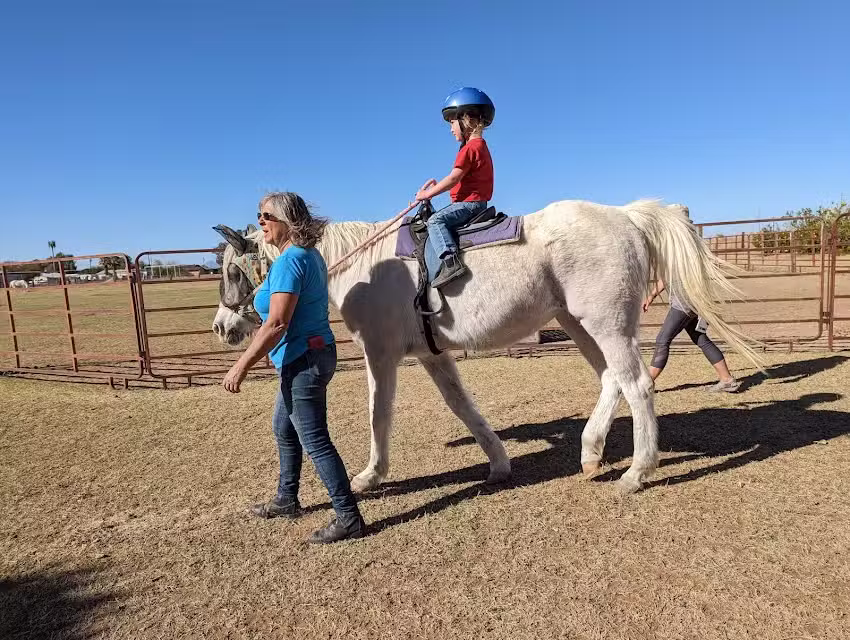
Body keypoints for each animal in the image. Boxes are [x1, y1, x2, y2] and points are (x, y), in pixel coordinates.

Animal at [212, 199, 760, 494]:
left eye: (233, 271)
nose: (221, 327)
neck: (363, 264)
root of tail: (625, 216)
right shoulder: (432, 355)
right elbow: (463, 407)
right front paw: (498, 463)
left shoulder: (380, 354)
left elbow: (378, 414)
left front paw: (370, 475)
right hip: (579, 324)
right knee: (612, 380)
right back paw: (589, 453)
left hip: (605, 324)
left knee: (638, 383)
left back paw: (637, 471)